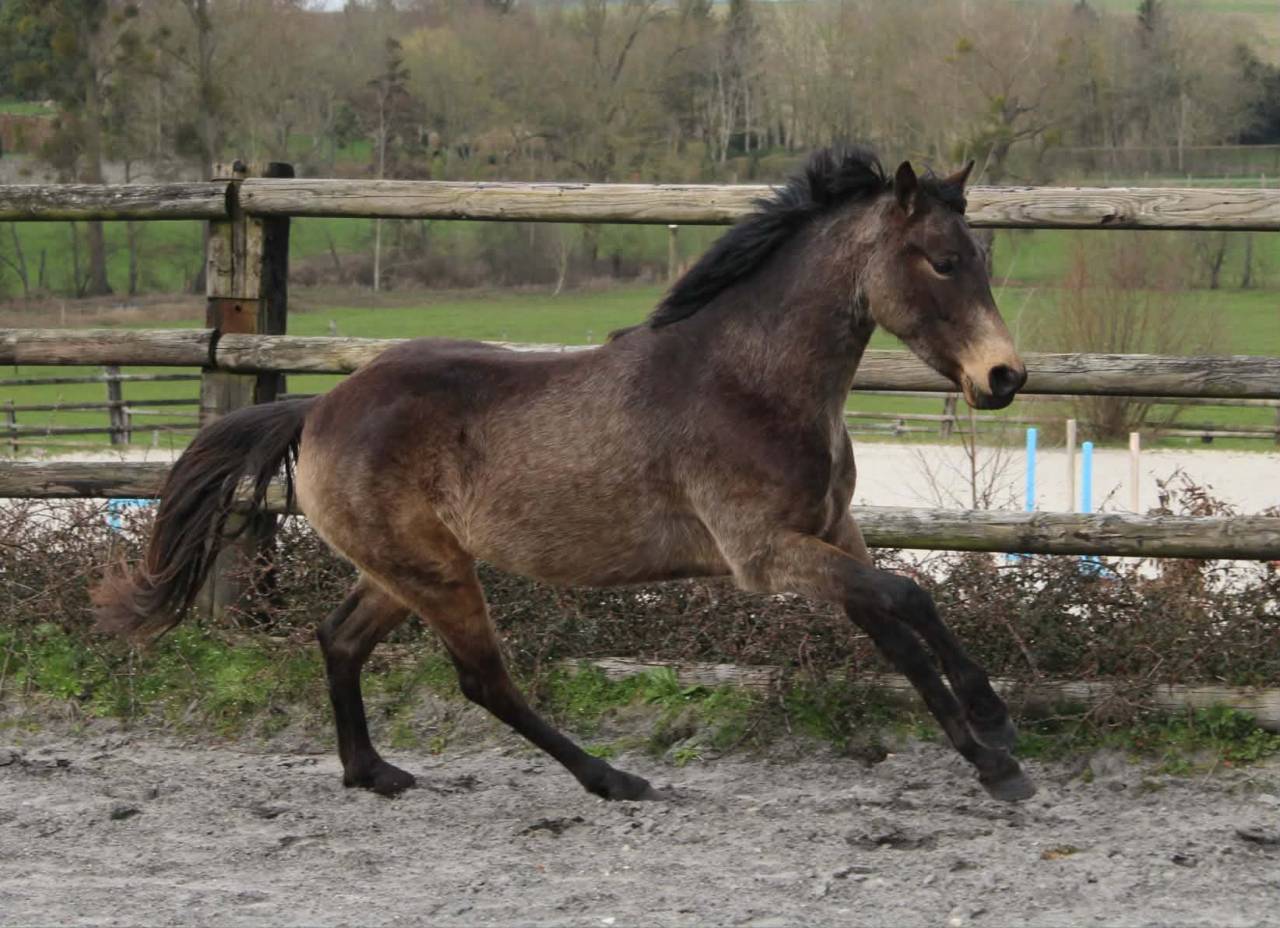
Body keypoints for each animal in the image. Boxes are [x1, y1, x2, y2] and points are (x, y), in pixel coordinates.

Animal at [93, 147, 1034, 803]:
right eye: (941, 260)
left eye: (981, 259)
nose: (1003, 377)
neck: (749, 381)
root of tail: (318, 409)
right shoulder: (765, 555)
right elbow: (910, 597)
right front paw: (996, 726)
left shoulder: (832, 534)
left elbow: (900, 627)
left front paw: (993, 762)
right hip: (437, 575)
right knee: (484, 681)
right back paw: (614, 779)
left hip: (404, 570)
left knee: (340, 639)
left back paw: (373, 772)